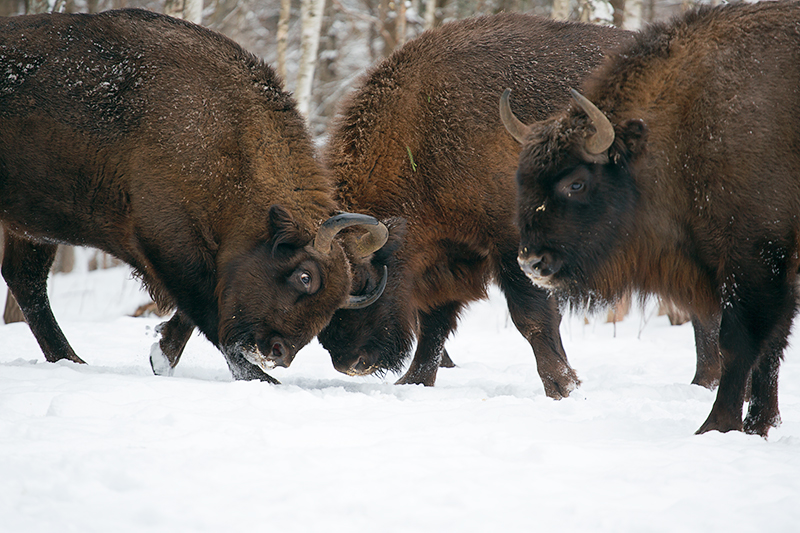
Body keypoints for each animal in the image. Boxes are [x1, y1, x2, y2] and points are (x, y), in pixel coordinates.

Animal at [0, 10, 388, 380]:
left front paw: (162, 355)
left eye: (336, 302)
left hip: (30, 226)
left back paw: (71, 360)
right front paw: (260, 379)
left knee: (25, 280)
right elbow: (210, 315)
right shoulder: (167, 241)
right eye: (305, 276)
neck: (227, 140)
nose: (278, 353)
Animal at [316, 12, 636, 396]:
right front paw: (415, 381)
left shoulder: (514, 247)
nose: (350, 364)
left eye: (362, 280)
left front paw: (563, 387)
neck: (425, 129)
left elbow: (531, 318)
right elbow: (434, 321)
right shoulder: (446, 253)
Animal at [506, 1, 800, 436]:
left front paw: (716, 426)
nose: (531, 262)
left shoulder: (754, 260)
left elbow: (739, 341)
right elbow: (769, 346)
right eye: (521, 178)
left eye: (576, 183)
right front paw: (760, 425)